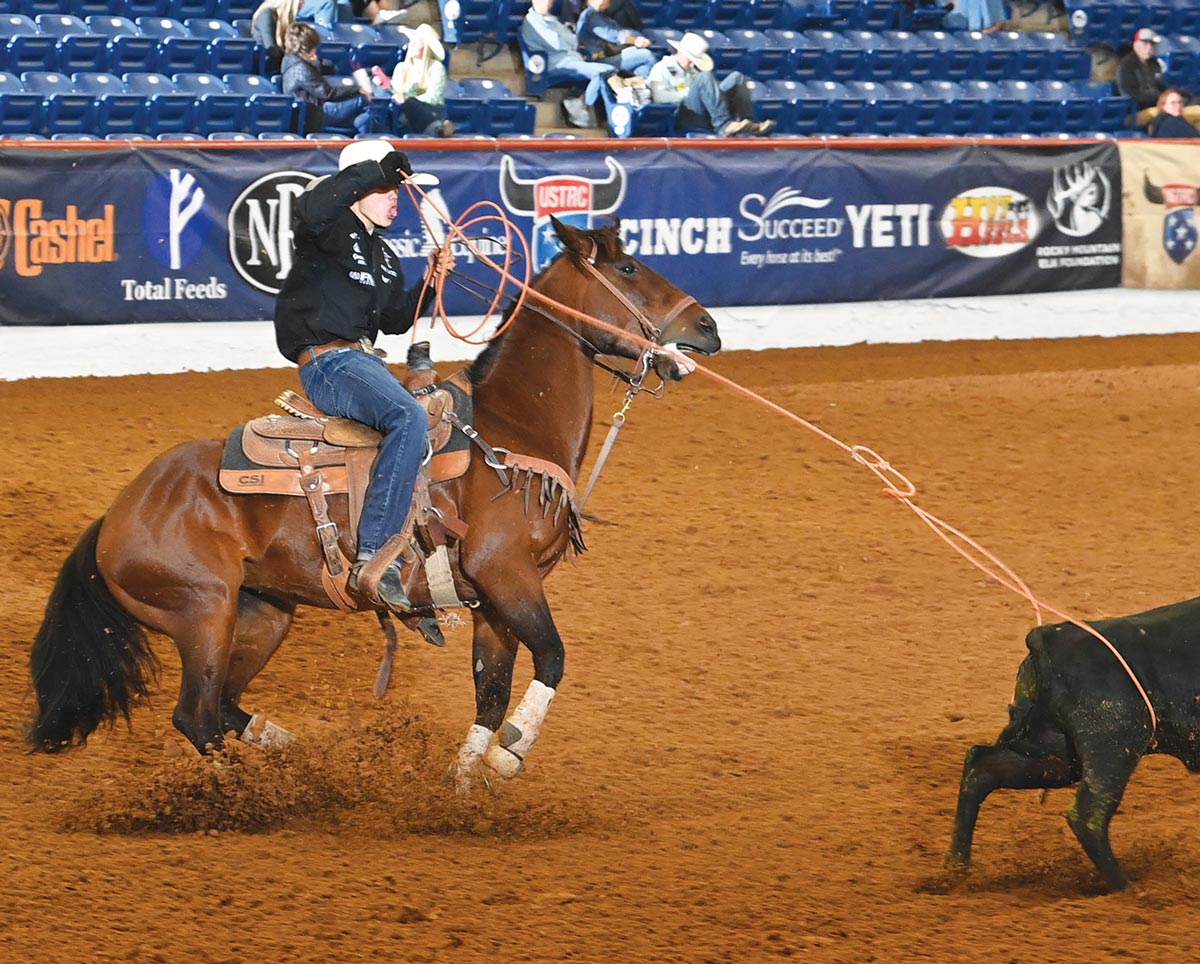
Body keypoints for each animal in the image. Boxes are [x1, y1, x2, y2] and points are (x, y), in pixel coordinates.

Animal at [28, 220, 715, 792]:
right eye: (628, 268)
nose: (708, 326)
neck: (512, 426)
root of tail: (117, 515)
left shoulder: (493, 599)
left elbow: (491, 694)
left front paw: (460, 791)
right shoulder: (507, 573)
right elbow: (553, 658)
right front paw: (507, 756)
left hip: (260, 614)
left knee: (219, 709)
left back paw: (290, 754)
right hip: (202, 614)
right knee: (194, 716)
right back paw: (254, 798)